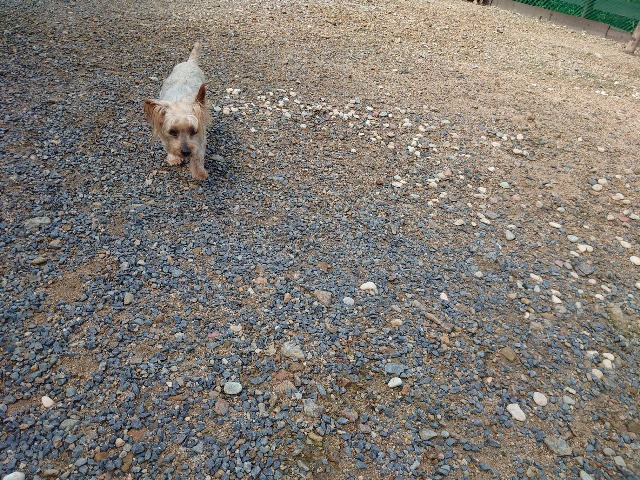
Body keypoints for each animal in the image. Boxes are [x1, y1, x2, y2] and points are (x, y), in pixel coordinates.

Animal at [143, 41, 211, 180]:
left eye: (193, 131)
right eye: (172, 131)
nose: (185, 152)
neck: (180, 100)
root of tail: (190, 62)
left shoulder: (200, 136)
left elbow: (198, 154)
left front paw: (199, 172)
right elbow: (169, 145)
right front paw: (174, 158)